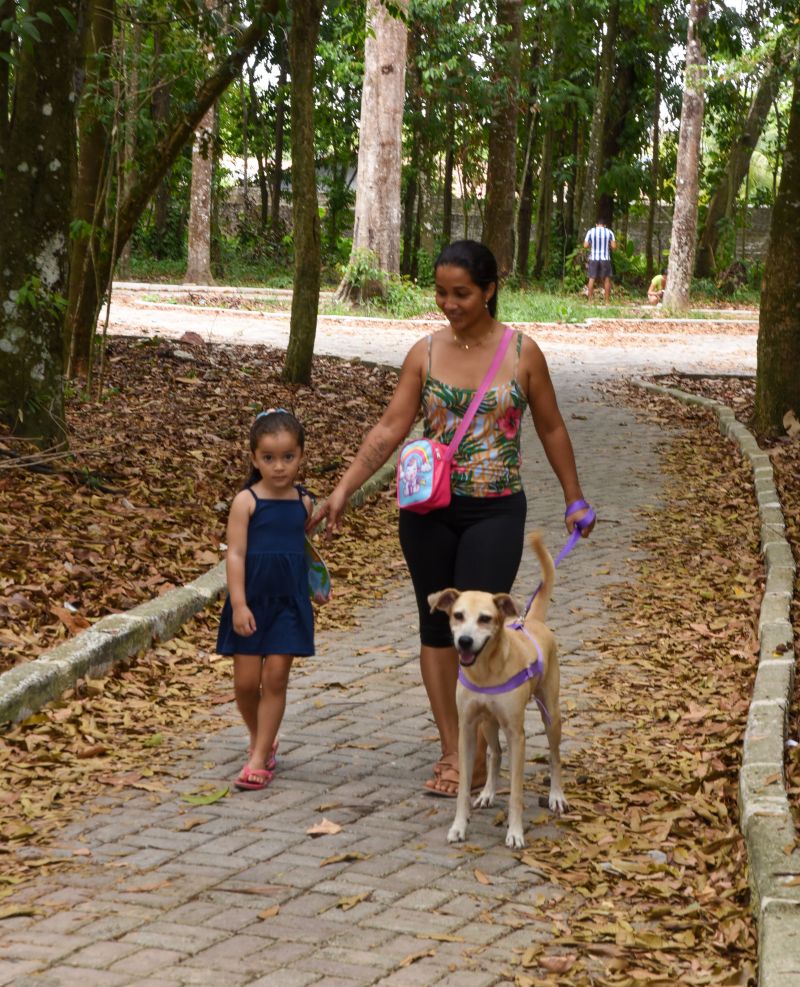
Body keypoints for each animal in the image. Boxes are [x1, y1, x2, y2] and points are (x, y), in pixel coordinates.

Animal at [428, 532, 564, 848]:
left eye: (485, 618)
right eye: (457, 615)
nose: (464, 641)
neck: (486, 672)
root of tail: (532, 621)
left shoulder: (517, 734)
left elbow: (516, 792)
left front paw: (515, 833)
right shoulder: (466, 727)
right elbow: (464, 786)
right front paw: (459, 826)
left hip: (551, 714)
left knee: (554, 757)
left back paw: (556, 796)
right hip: (488, 723)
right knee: (495, 753)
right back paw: (488, 792)